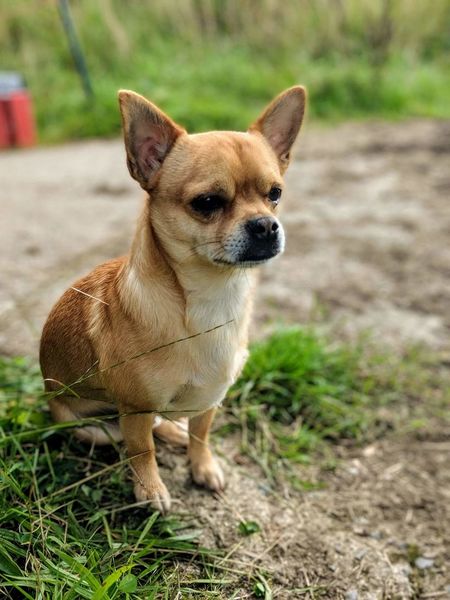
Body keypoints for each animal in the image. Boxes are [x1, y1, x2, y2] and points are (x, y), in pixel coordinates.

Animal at [39, 85, 306, 510]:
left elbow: (202, 435)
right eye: (207, 202)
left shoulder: (210, 399)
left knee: (165, 425)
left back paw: (174, 429)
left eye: (275, 194)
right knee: (124, 435)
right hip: (86, 424)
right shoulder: (135, 408)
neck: (213, 301)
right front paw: (150, 490)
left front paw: (203, 466)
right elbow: (141, 450)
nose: (266, 224)